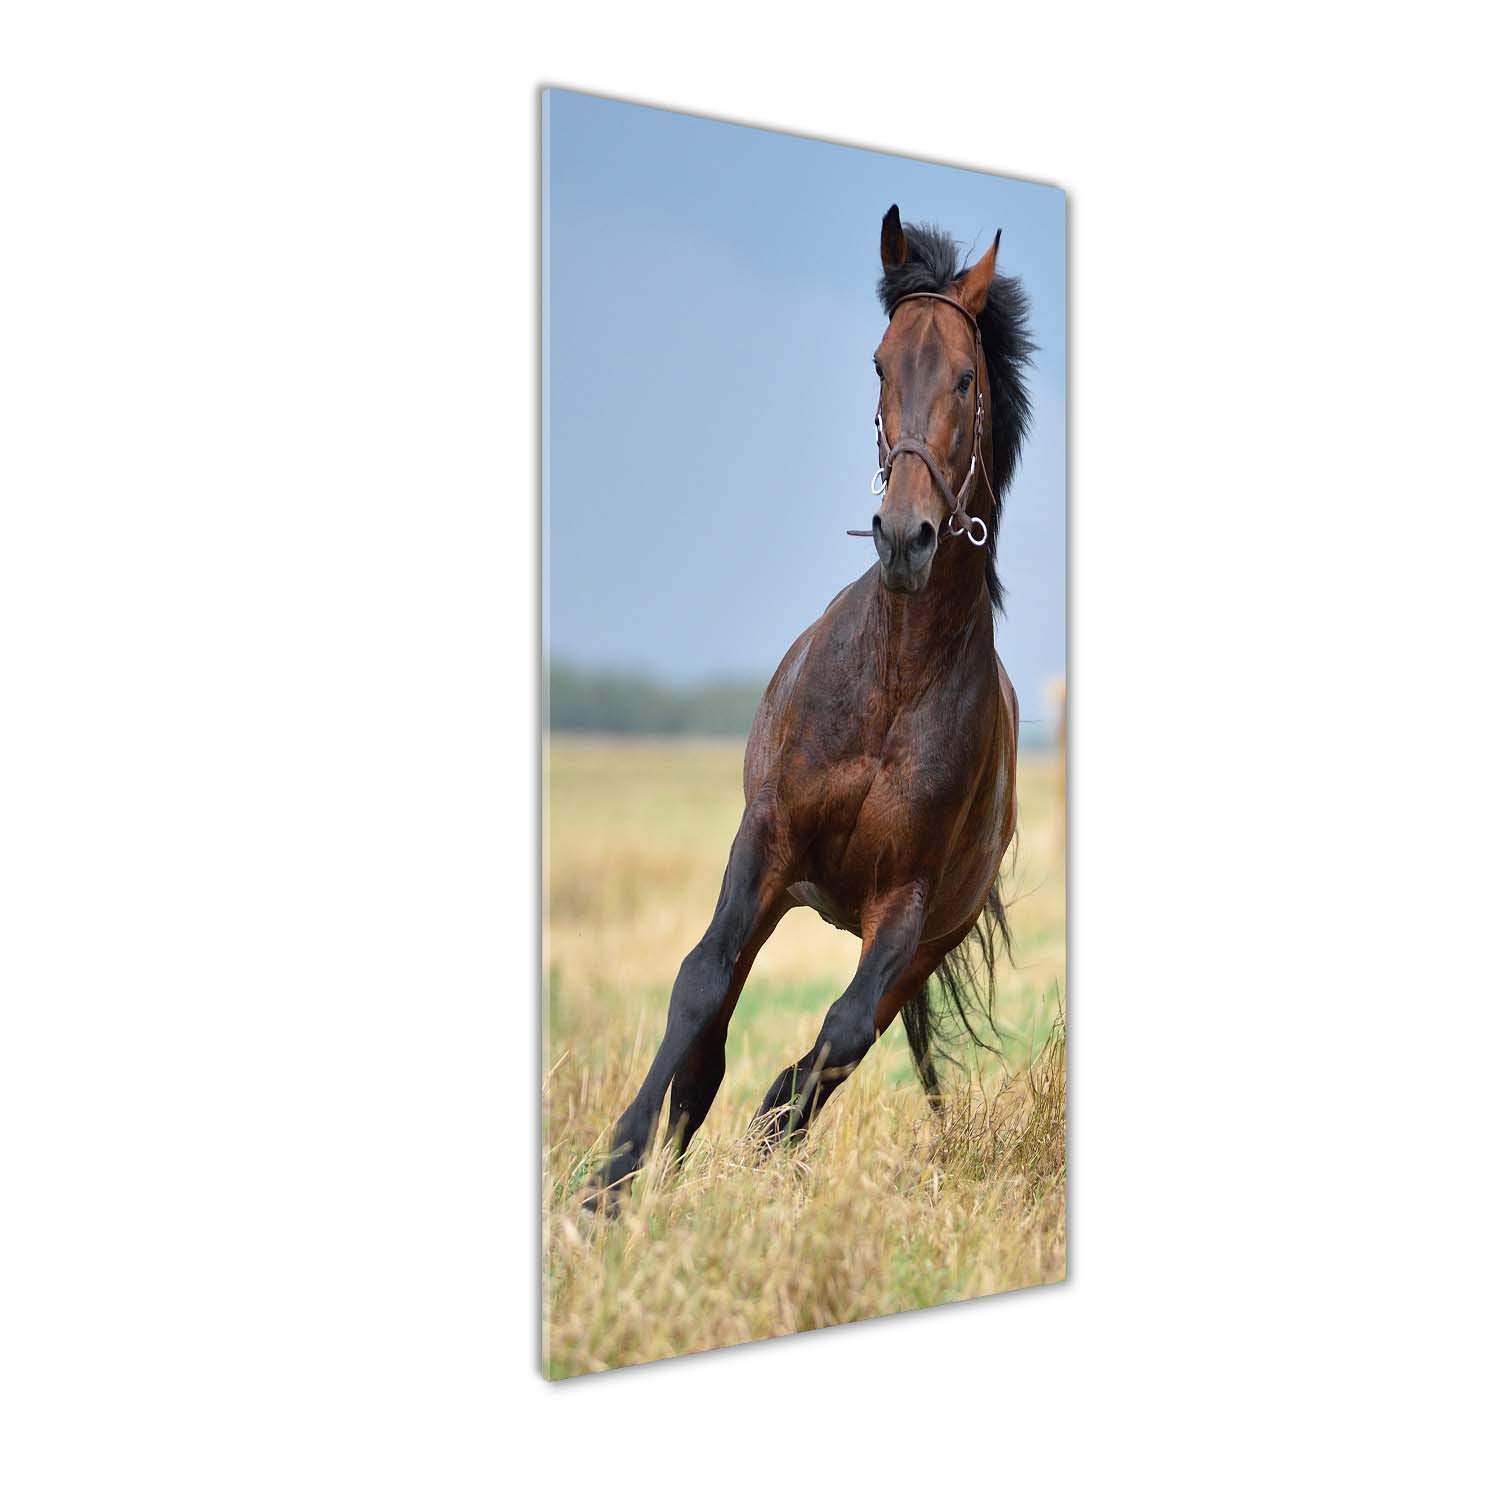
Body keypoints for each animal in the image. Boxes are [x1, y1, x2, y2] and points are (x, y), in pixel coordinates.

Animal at [590, 206, 1035, 1204]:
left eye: (964, 377)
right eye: (879, 364)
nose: (905, 538)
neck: (892, 681)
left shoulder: (903, 906)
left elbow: (835, 1037)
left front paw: (752, 1153)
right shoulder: (765, 841)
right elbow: (700, 989)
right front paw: (610, 1181)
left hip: (925, 943)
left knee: (841, 1044)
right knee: (715, 1037)